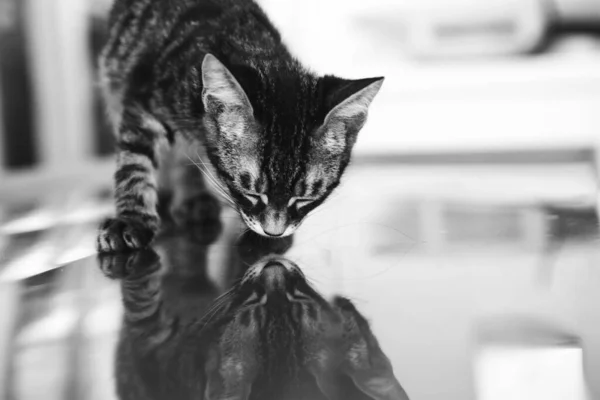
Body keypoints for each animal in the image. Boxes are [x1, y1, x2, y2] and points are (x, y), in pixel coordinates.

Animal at [96, 0, 382, 253]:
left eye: (304, 199)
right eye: (252, 192)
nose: (274, 232)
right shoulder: (144, 102)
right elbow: (135, 164)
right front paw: (132, 220)